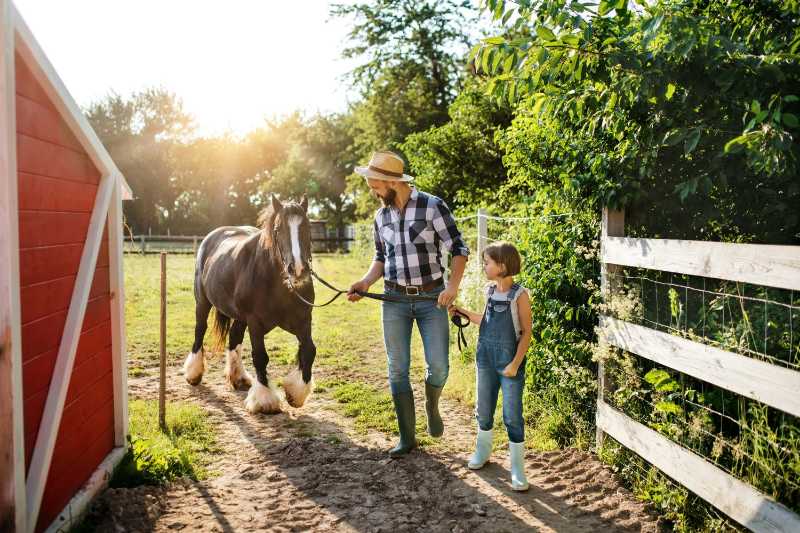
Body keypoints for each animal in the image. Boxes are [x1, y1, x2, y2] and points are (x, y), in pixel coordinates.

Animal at [182, 194, 316, 414]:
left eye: (307, 226)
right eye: (278, 229)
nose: (298, 270)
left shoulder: (303, 320)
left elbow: (309, 350)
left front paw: (295, 394)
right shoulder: (255, 322)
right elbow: (260, 356)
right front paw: (265, 399)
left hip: (239, 316)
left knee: (234, 336)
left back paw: (239, 377)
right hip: (202, 303)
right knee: (199, 331)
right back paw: (194, 373)